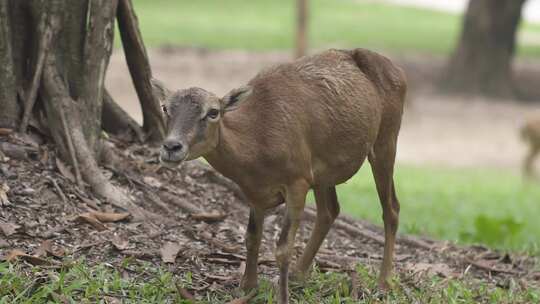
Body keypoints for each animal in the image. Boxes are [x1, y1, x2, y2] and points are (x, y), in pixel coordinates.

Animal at [152, 48, 404, 302]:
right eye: (165, 108)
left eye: (213, 112)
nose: (171, 147)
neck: (258, 143)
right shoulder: (256, 192)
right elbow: (251, 237)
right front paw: (247, 287)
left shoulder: (298, 179)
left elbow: (284, 247)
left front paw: (281, 296)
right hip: (323, 171)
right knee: (329, 210)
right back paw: (298, 275)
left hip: (386, 140)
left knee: (391, 208)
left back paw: (383, 284)